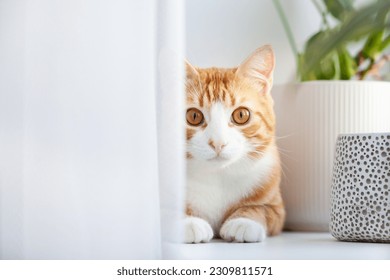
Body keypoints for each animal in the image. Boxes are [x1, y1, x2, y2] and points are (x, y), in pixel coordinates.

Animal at [184, 44, 284, 242]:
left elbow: (261, 209)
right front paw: (189, 222)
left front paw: (244, 221)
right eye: (194, 116)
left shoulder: (278, 209)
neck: (217, 176)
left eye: (241, 115)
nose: (218, 143)